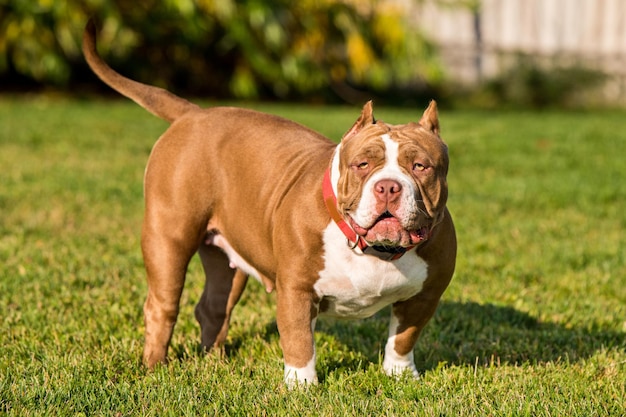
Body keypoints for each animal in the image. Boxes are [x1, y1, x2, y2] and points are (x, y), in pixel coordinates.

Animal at [81, 19, 454, 384]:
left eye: (420, 166)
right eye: (362, 164)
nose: (388, 187)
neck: (374, 250)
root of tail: (193, 114)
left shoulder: (425, 296)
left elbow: (403, 338)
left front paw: (400, 376)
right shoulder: (297, 290)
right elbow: (299, 339)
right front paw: (301, 386)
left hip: (228, 256)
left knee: (214, 305)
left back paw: (214, 362)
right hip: (168, 238)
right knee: (162, 305)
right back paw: (154, 367)